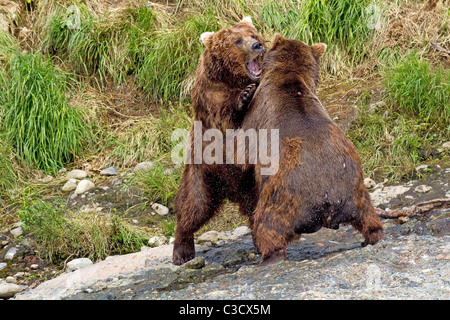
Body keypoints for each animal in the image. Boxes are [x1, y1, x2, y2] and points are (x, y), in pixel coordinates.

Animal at [171, 16, 264, 264]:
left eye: (254, 34)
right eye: (238, 41)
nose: (257, 46)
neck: (232, 77)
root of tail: (230, 190)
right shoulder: (210, 93)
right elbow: (223, 113)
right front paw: (244, 95)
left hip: (249, 181)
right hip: (202, 171)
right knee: (194, 205)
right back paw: (181, 250)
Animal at [241, 33, 384, 266]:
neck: (291, 78)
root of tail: (327, 202)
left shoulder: (257, 112)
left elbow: (240, 148)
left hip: (282, 198)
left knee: (267, 224)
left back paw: (269, 256)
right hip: (355, 191)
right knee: (369, 215)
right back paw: (373, 236)